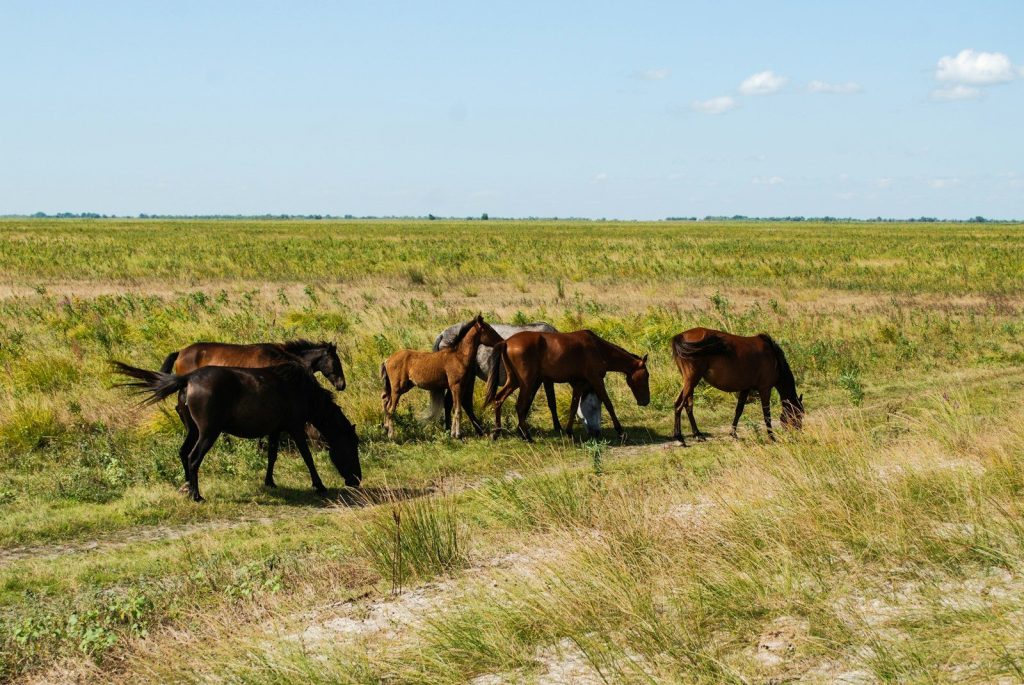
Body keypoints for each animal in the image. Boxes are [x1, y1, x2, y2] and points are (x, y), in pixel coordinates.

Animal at [112, 361, 361, 502]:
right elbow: (307, 457)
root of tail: (188, 379)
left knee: (183, 454)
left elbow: (272, 456)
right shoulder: (295, 427)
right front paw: (319, 485)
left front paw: (270, 482)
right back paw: (196, 495)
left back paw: (187, 487)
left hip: (192, 430)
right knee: (193, 458)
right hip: (208, 433)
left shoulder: (275, 430)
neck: (301, 389)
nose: (356, 480)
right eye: (351, 446)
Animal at [432, 321, 602, 436]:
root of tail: (443, 334)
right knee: (459, 402)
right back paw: (463, 430)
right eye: (594, 406)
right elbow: (550, 403)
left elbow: (528, 402)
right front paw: (557, 427)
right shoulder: (545, 380)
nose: (596, 431)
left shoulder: (535, 381)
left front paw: (521, 428)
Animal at [484, 330, 649, 441]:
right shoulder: (596, 379)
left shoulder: (580, 384)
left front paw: (569, 432)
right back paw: (527, 437)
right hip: (526, 383)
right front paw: (620, 431)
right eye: (646, 376)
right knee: (519, 406)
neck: (598, 348)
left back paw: (497, 433)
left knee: (498, 399)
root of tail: (507, 342)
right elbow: (608, 404)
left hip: (514, 382)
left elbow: (573, 406)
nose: (645, 401)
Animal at [670, 327, 804, 445]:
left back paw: (697, 434)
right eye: (798, 415)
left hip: (689, 381)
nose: (798, 433)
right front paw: (772, 437)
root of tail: (680, 336)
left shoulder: (745, 388)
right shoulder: (765, 389)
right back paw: (680, 438)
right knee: (679, 405)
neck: (773, 357)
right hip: (692, 379)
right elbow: (767, 415)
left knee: (686, 405)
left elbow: (739, 410)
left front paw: (733, 434)